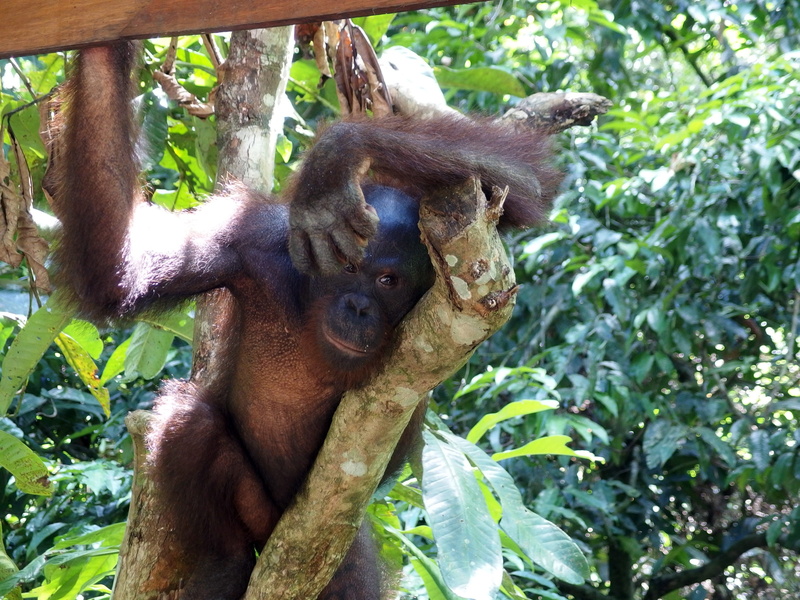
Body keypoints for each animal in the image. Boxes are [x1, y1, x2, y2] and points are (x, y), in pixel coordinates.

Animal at [50, 41, 561, 599]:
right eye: (350, 269)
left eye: (388, 281)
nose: (358, 307)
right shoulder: (244, 239)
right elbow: (122, 272)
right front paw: (107, 47)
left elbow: (525, 185)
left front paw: (337, 154)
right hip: (261, 514)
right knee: (191, 423)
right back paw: (228, 560)